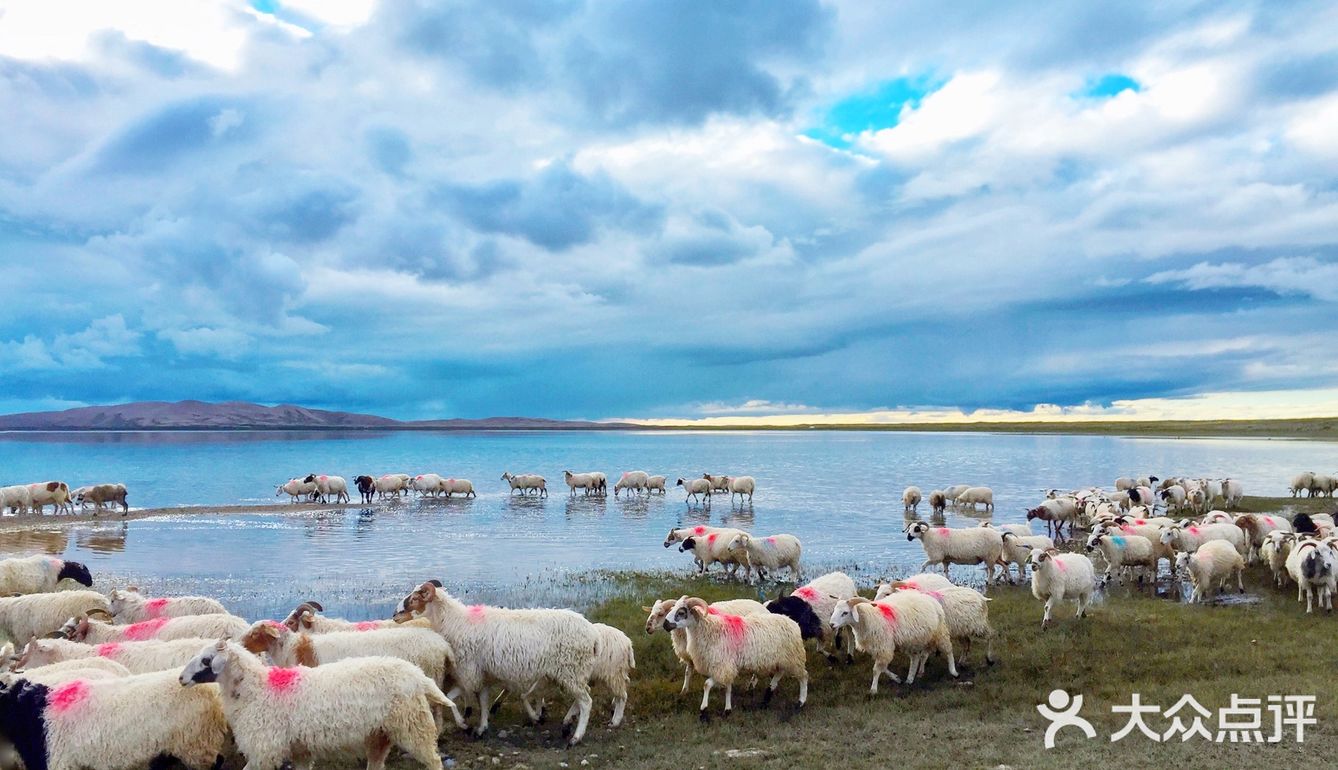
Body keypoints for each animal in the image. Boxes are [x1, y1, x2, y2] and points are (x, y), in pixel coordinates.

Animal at [180, 637, 457, 770]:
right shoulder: (300, 750)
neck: (257, 691)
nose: (181, 678)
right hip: (380, 733)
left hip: (413, 726)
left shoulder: (264, 750)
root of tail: (418, 675)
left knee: (433, 760)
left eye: (206, 660)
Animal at [393, 581, 599, 744]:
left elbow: (450, 699)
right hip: (572, 672)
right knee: (582, 696)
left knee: (586, 701)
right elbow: (482, 701)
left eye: (415, 599)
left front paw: (465, 725)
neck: (454, 622)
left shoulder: (470, 672)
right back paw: (566, 724)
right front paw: (481, 727)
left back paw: (576, 737)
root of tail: (592, 635)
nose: (395, 615)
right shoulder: (483, 674)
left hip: (571, 669)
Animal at [829, 597, 958, 690]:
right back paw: (910, 679)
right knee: (916, 658)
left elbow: (876, 669)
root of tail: (931, 599)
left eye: (845, 612)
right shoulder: (878, 649)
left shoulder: (883, 646)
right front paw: (896, 678)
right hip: (912, 641)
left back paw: (953, 671)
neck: (866, 619)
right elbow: (883, 667)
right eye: (834, 610)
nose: (831, 625)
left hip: (939, 632)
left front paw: (873, 690)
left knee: (948, 650)